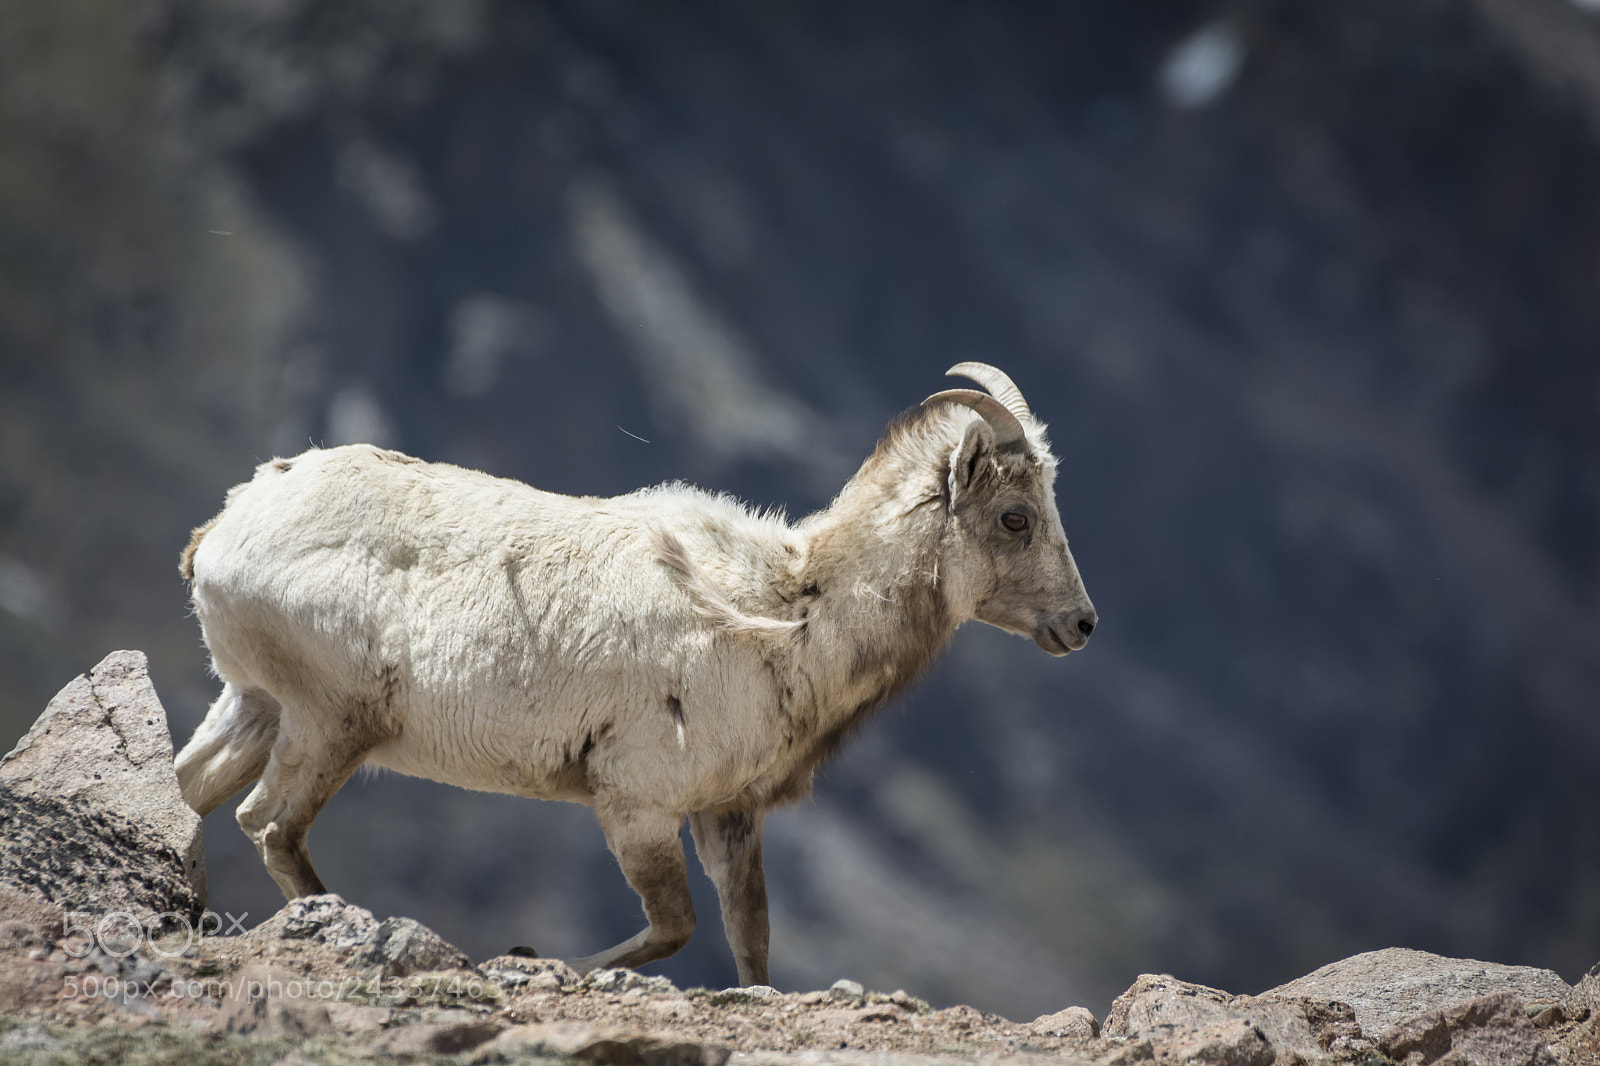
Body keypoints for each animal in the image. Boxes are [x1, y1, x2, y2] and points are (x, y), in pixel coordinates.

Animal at [174, 362, 1096, 987]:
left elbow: (750, 942)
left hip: (255, 707)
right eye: (1015, 518)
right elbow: (676, 927)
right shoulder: (637, 805)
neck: (785, 612)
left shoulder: (729, 817)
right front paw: (523, 952)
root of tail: (227, 527)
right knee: (270, 825)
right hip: (331, 720)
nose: (1080, 625)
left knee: (193, 791)